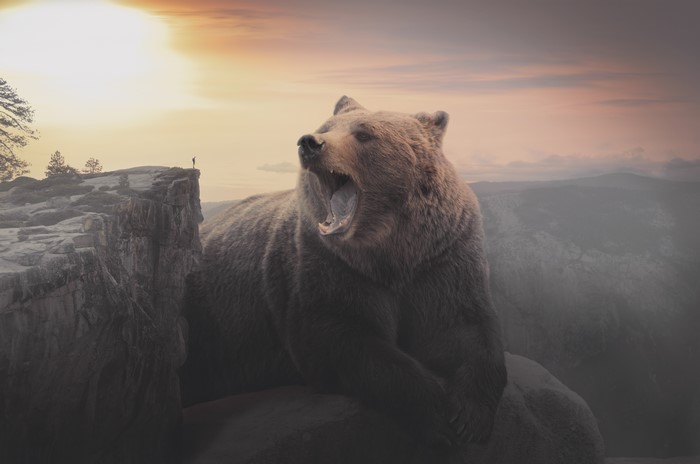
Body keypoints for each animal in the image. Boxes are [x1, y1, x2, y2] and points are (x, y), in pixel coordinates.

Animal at [180, 96, 507, 451]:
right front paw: (435, 418)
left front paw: (469, 418)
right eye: (325, 127)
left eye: (364, 134)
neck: (391, 254)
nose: (309, 142)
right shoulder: (330, 268)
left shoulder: (441, 259)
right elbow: (344, 339)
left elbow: (462, 326)